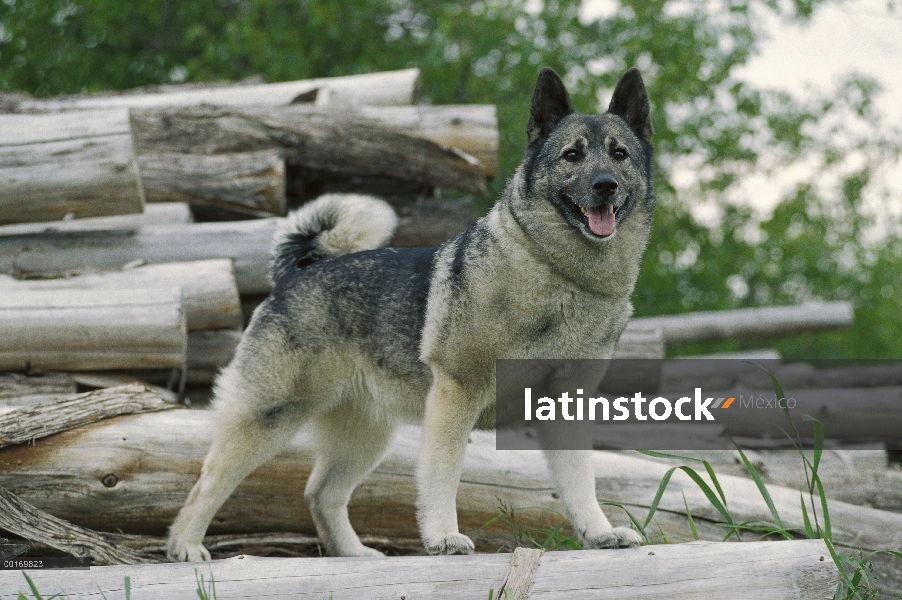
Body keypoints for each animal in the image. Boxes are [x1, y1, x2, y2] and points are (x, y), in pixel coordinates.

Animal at [164, 68, 656, 560]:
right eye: (572, 155)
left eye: (619, 154)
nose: (606, 184)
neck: (560, 276)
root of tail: (300, 270)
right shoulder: (456, 395)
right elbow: (443, 476)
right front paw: (443, 536)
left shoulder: (566, 409)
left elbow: (580, 482)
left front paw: (599, 533)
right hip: (270, 413)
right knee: (208, 482)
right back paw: (185, 547)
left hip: (364, 432)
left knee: (320, 493)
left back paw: (356, 554)